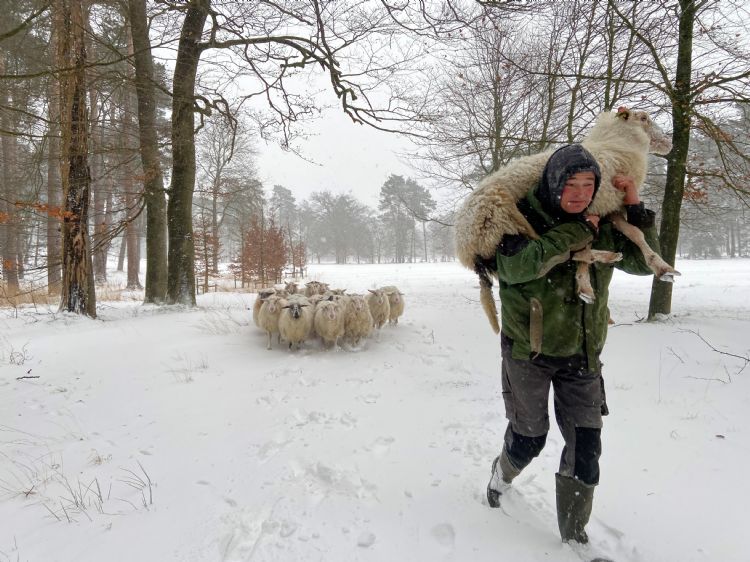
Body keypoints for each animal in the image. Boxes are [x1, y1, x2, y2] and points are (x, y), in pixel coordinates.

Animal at [456, 105, 680, 332]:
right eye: (643, 118)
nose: (669, 143)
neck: (616, 145)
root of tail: (465, 245)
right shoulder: (597, 209)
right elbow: (605, 238)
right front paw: (663, 269)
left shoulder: (608, 208)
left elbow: (633, 233)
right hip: (509, 224)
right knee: (550, 257)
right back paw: (607, 257)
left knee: (566, 254)